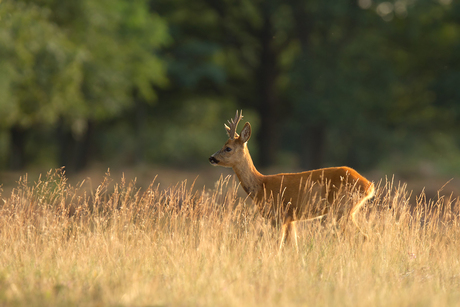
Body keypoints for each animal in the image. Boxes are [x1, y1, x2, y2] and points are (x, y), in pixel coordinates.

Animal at [208, 112, 374, 249]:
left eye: (228, 148)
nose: (211, 158)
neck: (261, 186)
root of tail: (368, 186)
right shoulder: (290, 219)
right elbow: (293, 246)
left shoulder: (279, 215)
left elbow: (278, 246)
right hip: (346, 210)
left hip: (342, 207)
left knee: (363, 236)